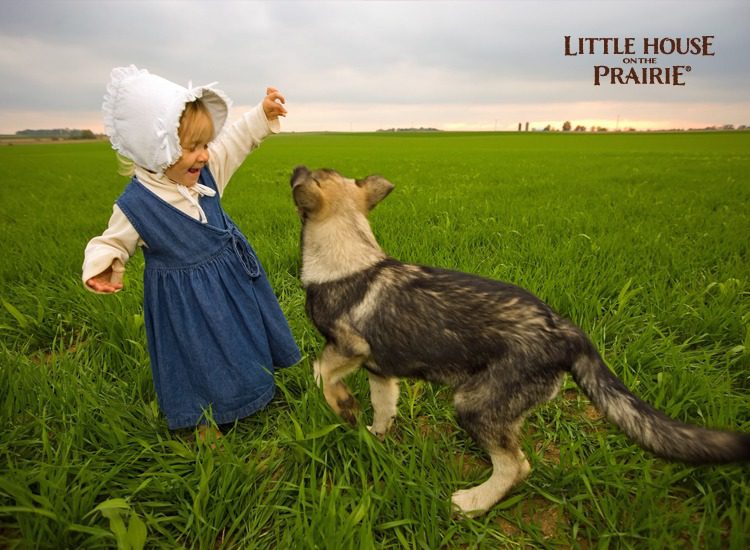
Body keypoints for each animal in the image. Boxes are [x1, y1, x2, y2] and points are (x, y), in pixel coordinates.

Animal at [290, 166, 750, 520]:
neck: (349, 253)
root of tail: (566, 331)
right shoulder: (381, 370)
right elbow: (384, 406)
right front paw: (372, 431)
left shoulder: (351, 348)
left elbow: (319, 371)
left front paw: (341, 406)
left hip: (475, 403)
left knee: (516, 466)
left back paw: (473, 503)